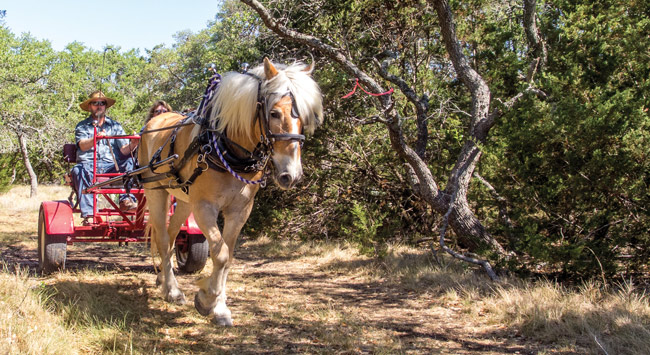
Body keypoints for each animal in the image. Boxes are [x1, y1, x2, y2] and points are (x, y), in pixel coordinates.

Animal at [137, 57, 322, 326]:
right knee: (162, 237)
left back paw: (163, 278)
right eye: (274, 113)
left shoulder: (240, 210)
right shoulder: (204, 207)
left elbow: (228, 256)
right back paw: (172, 290)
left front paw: (219, 307)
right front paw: (206, 299)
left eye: (304, 118)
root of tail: (152, 123)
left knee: (171, 237)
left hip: (184, 200)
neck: (225, 148)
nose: (292, 175)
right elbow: (221, 253)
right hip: (155, 191)